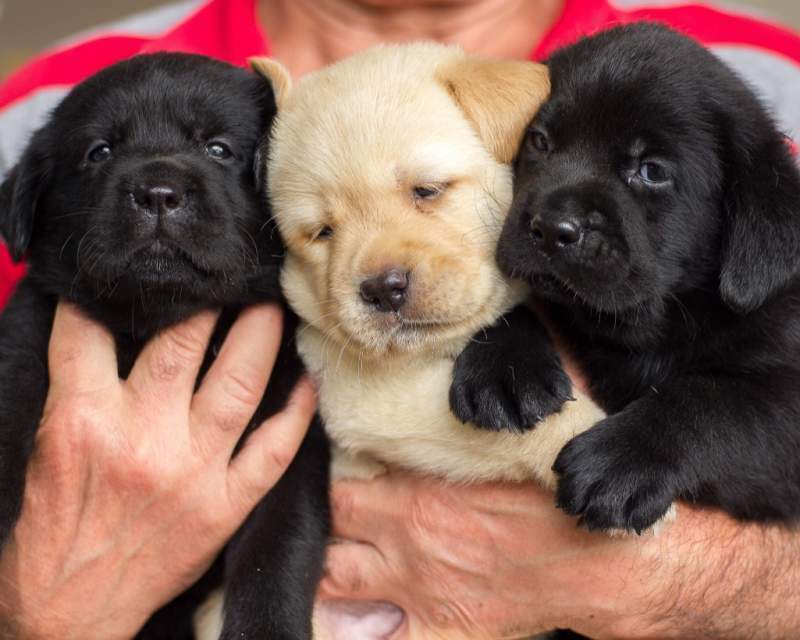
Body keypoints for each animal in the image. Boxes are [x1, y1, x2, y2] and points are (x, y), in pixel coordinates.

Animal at [0, 52, 328, 636]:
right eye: (100, 151)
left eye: (219, 149)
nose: (157, 192)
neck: (150, 323)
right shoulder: (25, 335)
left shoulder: (288, 450)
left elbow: (278, 554)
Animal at [454, 22, 800, 532]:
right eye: (539, 141)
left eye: (651, 170)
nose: (552, 228)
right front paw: (504, 364)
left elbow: (717, 400)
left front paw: (622, 458)